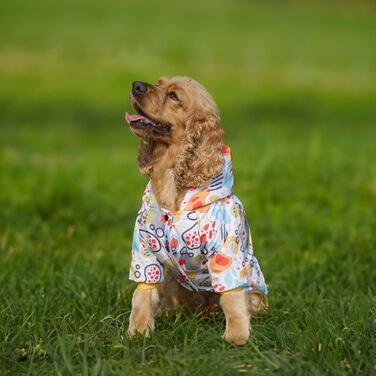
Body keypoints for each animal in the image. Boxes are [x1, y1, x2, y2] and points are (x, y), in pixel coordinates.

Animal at [125, 77, 268, 346]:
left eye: (174, 96)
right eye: (158, 82)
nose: (136, 85)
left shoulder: (226, 249)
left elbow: (233, 299)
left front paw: (236, 337)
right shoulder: (145, 250)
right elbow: (142, 296)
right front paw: (137, 333)